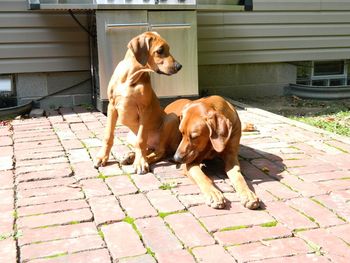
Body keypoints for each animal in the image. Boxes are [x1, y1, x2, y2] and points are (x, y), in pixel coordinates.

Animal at [95, 31, 183, 175]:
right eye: (160, 50)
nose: (179, 66)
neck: (129, 78)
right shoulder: (111, 106)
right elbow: (108, 135)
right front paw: (102, 157)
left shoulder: (144, 109)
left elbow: (141, 140)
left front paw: (141, 163)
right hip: (130, 136)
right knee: (147, 148)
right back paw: (130, 156)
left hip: (171, 118)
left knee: (158, 151)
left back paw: (138, 159)